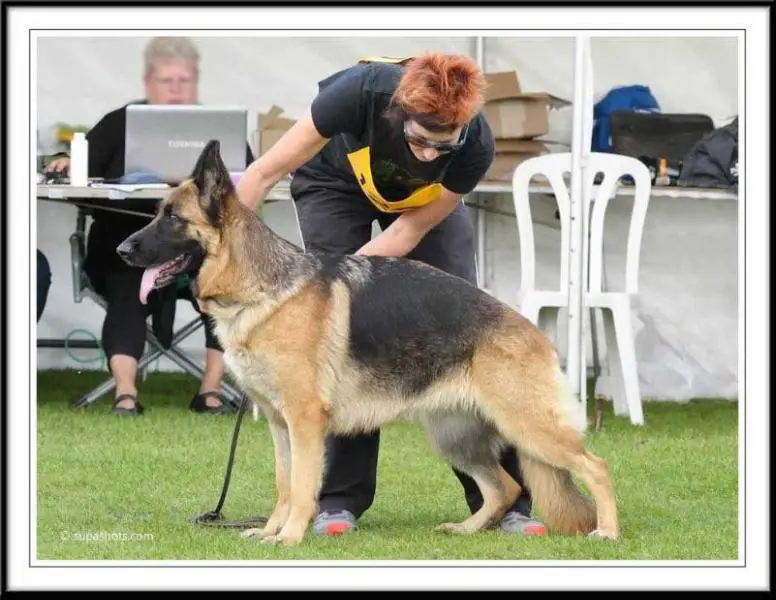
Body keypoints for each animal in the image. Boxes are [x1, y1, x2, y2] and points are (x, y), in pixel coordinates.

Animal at [118, 142, 620, 548]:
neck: (259, 288)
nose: (121, 251)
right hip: (455, 437)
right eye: (157, 212)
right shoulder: (280, 425)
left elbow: (302, 487)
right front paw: (270, 530)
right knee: (505, 487)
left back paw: (607, 531)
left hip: (527, 427)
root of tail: (533, 331)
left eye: (172, 218)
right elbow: (283, 485)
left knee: (595, 466)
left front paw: (290, 537)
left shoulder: (304, 423)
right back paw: (468, 529)